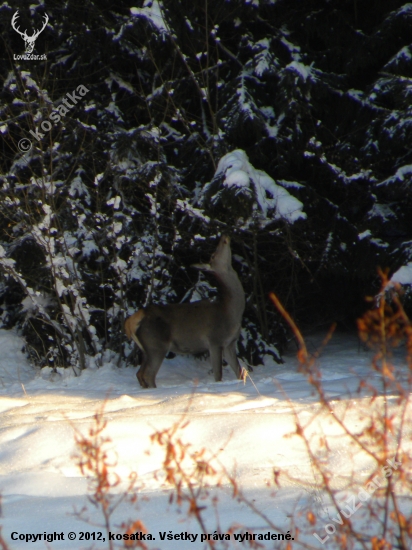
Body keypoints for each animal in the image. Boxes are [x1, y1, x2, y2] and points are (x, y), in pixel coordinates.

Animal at [124, 235, 245, 390]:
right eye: (213, 255)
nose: (224, 237)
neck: (231, 312)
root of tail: (131, 321)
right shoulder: (214, 340)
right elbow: (218, 375)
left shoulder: (230, 343)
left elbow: (239, 371)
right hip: (156, 344)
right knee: (147, 374)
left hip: (146, 349)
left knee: (139, 373)